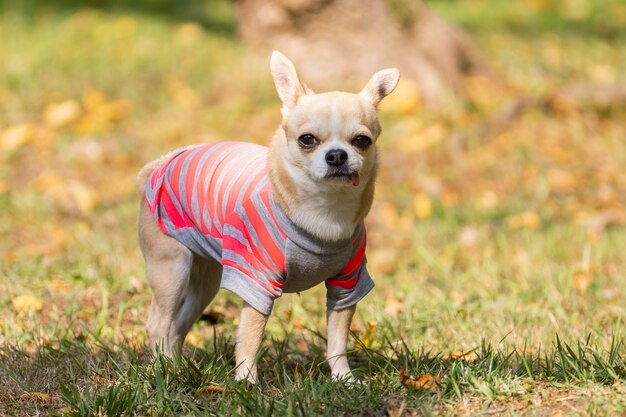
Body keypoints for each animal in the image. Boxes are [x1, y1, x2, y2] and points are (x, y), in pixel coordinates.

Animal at [136, 50, 400, 382]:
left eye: (362, 140)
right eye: (307, 139)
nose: (337, 155)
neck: (324, 210)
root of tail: (161, 165)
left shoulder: (347, 284)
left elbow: (337, 340)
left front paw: (344, 378)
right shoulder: (256, 281)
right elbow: (251, 336)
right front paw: (246, 381)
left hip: (205, 281)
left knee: (177, 325)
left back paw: (175, 367)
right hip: (172, 270)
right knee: (159, 323)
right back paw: (163, 371)